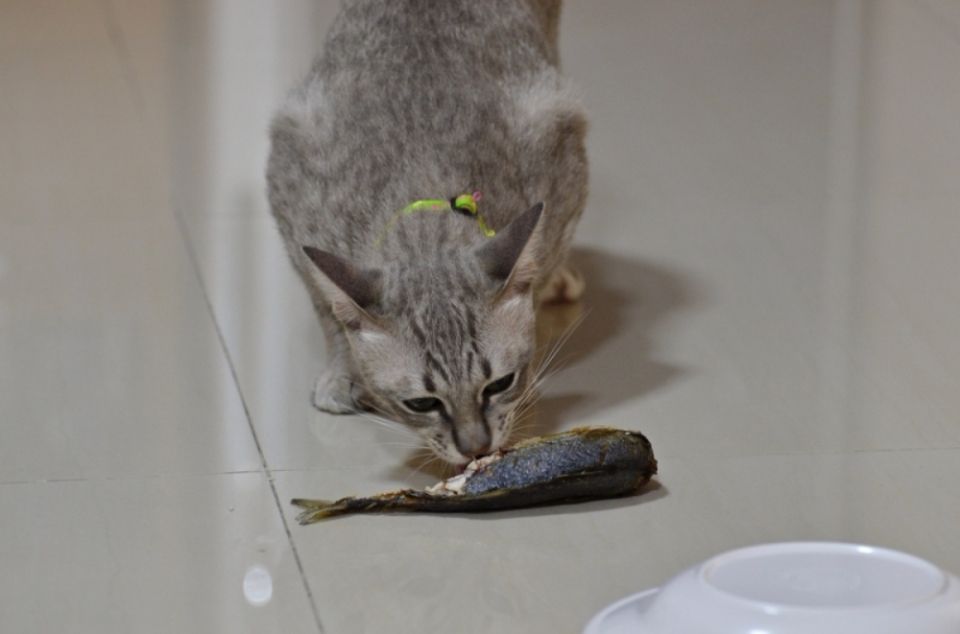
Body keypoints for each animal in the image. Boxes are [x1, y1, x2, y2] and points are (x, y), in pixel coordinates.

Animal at [266, 0, 588, 464]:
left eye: (500, 384)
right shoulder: (293, 208)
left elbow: (539, 277)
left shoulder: (563, 171)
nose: (476, 448)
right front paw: (343, 372)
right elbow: (330, 314)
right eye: (421, 403)